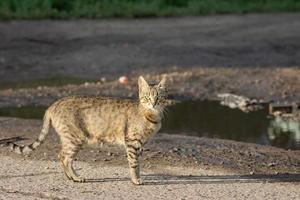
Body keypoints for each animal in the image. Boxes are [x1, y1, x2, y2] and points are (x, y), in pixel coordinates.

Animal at [7, 76, 168, 185]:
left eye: (159, 97)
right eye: (147, 97)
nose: (153, 103)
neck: (152, 116)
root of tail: (52, 105)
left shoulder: (140, 145)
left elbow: (138, 164)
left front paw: (138, 177)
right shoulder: (132, 142)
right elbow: (134, 164)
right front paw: (136, 180)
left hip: (70, 139)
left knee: (62, 156)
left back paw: (70, 177)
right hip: (75, 138)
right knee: (64, 157)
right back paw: (75, 177)